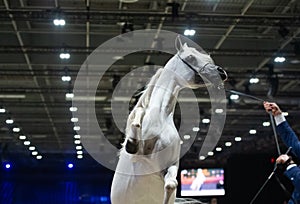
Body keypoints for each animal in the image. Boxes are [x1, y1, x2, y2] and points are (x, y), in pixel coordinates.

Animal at [110, 38, 227, 204]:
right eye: (191, 57)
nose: (222, 73)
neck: (160, 118)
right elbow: (138, 112)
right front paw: (131, 143)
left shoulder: (169, 166)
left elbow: (171, 184)